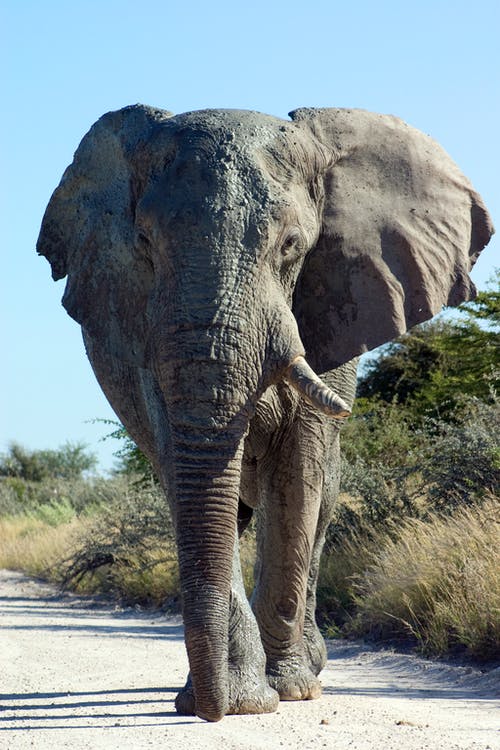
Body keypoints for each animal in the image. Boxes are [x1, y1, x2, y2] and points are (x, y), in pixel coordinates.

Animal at [37, 106, 494, 724]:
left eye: (293, 246)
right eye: (144, 243)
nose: (208, 713)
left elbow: (298, 472)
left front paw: (287, 692)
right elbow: (187, 478)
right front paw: (241, 700)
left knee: (318, 506)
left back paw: (309, 667)